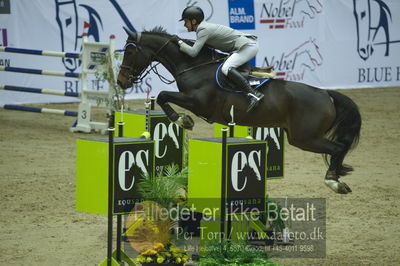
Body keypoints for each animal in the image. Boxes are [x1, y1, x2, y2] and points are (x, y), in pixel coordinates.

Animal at [117, 27, 360, 194]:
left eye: (129, 52)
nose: (121, 82)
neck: (194, 66)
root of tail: (326, 94)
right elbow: (163, 96)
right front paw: (183, 120)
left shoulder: (198, 102)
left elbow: (162, 96)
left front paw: (183, 120)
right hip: (301, 137)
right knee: (339, 148)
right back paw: (337, 179)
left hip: (304, 138)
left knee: (338, 148)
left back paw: (333, 182)